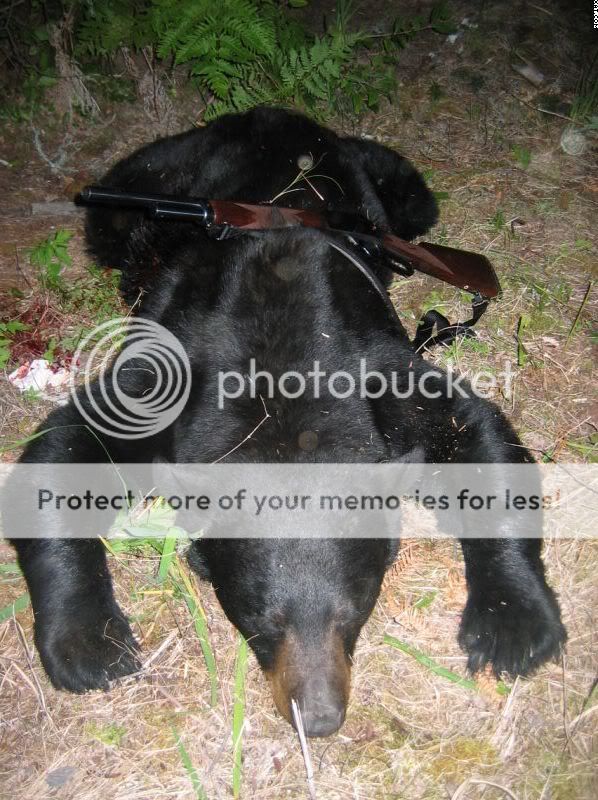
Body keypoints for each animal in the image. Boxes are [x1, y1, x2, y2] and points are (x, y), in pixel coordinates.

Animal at [7, 107, 566, 738]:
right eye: (259, 618)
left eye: (355, 611)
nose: (317, 719)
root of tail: (268, 111)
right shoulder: (172, 376)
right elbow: (67, 440)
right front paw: (89, 643)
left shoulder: (375, 372)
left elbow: (472, 425)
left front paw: (513, 623)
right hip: (139, 188)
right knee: (113, 216)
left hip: (398, 188)